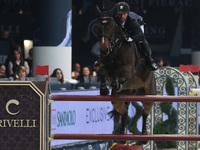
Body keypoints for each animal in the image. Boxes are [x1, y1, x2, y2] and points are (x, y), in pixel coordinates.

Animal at [96, 7, 157, 144]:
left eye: (112, 26)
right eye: (97, 25)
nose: (104, 49)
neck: (116, 47)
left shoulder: (128, 71)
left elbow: (116, 71)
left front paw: (115, 83)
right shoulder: (104, 66)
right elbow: (102, 71)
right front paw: (104, 89)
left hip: (149, 93)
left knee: (145, 112)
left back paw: (144, 136)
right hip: (118, 99)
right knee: (124, 112)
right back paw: (122, 136)